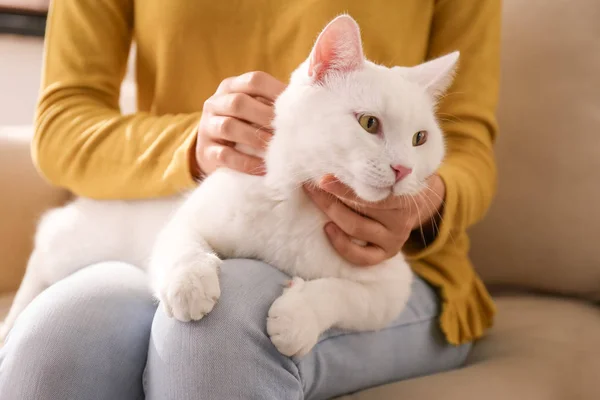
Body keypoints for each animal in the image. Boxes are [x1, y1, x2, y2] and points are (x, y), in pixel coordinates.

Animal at [1, 15, 460, 356]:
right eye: (369, 123)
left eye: (421, 139)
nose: (403, 169)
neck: (297, 208)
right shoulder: (188, 220)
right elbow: (182, 245)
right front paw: (190, 285)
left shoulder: (390, 291)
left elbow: (339, 295)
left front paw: (297, 318)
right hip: (72, 244)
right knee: (41, 257)